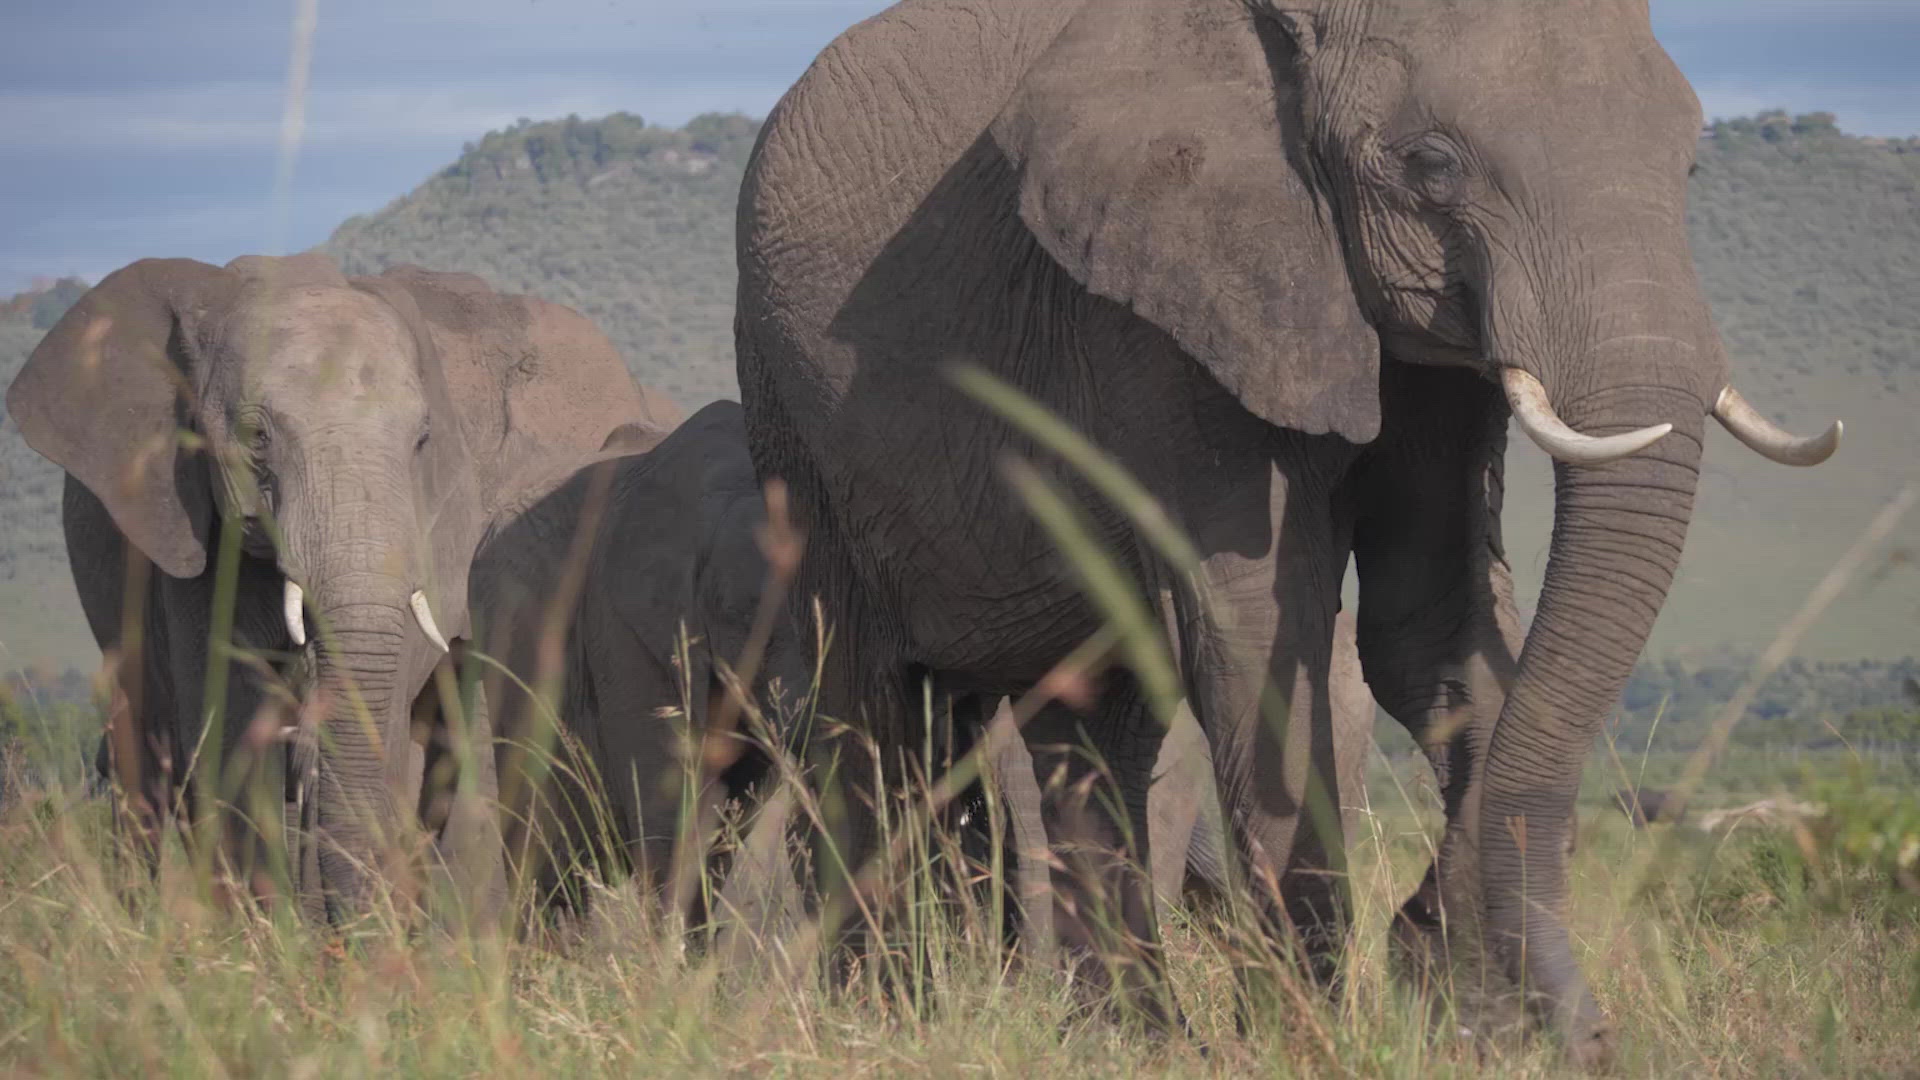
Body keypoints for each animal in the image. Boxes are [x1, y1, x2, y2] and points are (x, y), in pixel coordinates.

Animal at [731, 0, 1841, 1061]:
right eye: (1431, 163)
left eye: (1688, 164)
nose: (1598, 1037)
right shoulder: (1160, 306)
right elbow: (1260, 631)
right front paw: (1312, 1038)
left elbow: (1431, 623)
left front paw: (1474, 1009)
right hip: (792, 417)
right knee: (865, 714)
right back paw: (883, 1020)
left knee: (1095, 728)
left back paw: (1134, 1040)